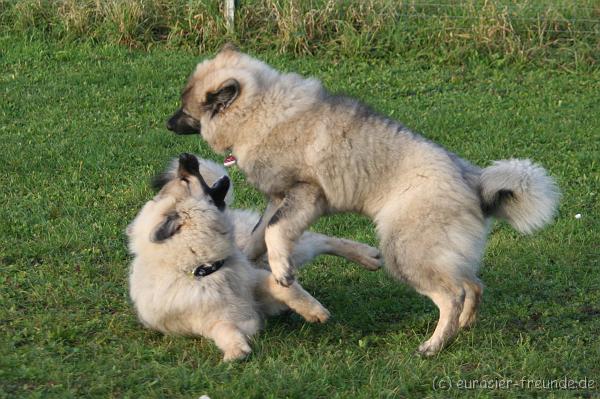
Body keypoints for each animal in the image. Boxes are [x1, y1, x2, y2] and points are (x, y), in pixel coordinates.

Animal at [126, 155, 380, 360]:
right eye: (186, 181)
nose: (184, 156)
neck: (201, 268)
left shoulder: (256, 280)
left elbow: (284, 289)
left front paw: (314, 310)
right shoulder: (209, 319)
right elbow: (223, 330)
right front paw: (235, 351)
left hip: (275, 250)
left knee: (322, 240)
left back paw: (368, 255)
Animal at [166, 47, 560, 356]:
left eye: (185, 109)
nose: (168, 124)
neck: (260, 110)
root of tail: (473, 182)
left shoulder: (306, 194)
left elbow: (275, 231)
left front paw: (281, 272)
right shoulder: (279, 199)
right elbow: (257, 236)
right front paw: (250, 264)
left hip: (406, 252)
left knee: (452, 295)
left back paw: (434, 345)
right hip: (441, 252)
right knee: (473, 285)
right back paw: (464, 326)